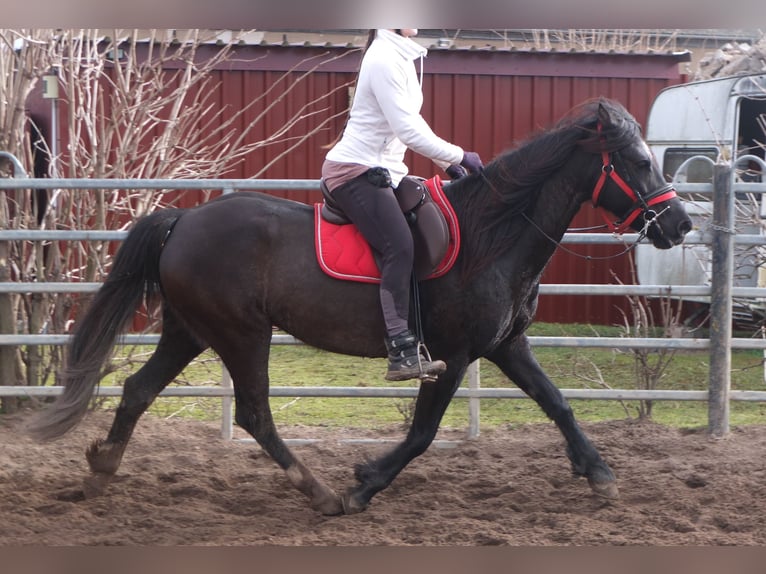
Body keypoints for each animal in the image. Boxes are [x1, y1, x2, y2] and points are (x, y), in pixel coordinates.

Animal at [30, 99, 696, 516]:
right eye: (639, 161)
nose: (680, 225)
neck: (494, 233)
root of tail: (183, 220)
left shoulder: (506, 345)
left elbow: (557, 403)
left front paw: (600, 474)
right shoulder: (451, 356)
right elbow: (423, 433)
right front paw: (364, 484)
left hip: (189, 331)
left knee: (139, 390)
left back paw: (101, 470)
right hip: (242, 334)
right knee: (254, 415)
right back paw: (322, 494)